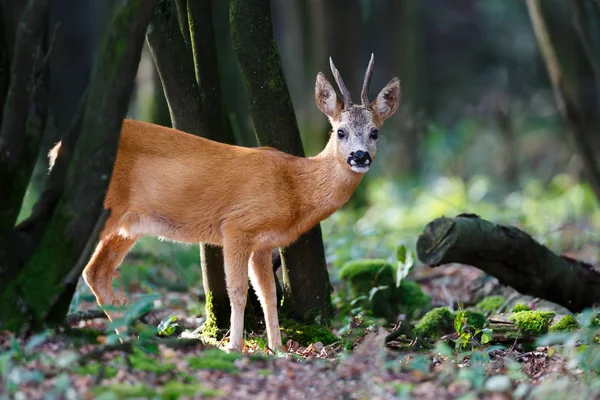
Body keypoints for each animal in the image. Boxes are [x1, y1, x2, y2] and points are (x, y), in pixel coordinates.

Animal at [51, 55, 398, 350]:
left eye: (375, 132)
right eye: (340, 132)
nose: (360, 157)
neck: (294, 187)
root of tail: (56, 149)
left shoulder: (262, 244)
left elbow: (268, 294)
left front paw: (278, 349)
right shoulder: (237, 227)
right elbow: (239, 292)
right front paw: (235, 347)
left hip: (128, 225)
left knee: (97, 272)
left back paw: (129, 338)